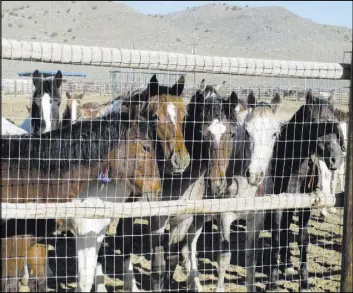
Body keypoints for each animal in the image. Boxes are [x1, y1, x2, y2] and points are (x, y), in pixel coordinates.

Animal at [266, 89, 346, 290]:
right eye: (316, 122)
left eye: (335, 121)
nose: (336, 159)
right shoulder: (278, 204)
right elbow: (277, 237)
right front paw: (272, 282)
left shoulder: (305, 205)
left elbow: (302, 240)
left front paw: (304, 282)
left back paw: (287, 263)